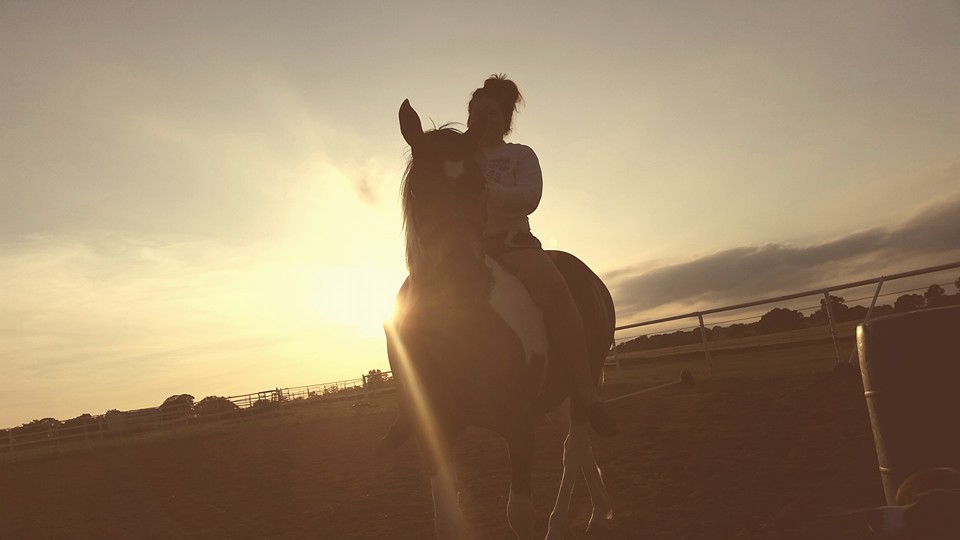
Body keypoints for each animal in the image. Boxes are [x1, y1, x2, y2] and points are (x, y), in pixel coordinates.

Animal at [383, 99, 616, 539]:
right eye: (419, 188)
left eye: (480, 186)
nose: (462, 278)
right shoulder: (435, 431)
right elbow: (447, 518)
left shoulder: (519, 425)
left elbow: (518, 513)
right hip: (556, 394)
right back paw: (599, 509)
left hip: (583, 382)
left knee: (573, 447)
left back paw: (568, 522)